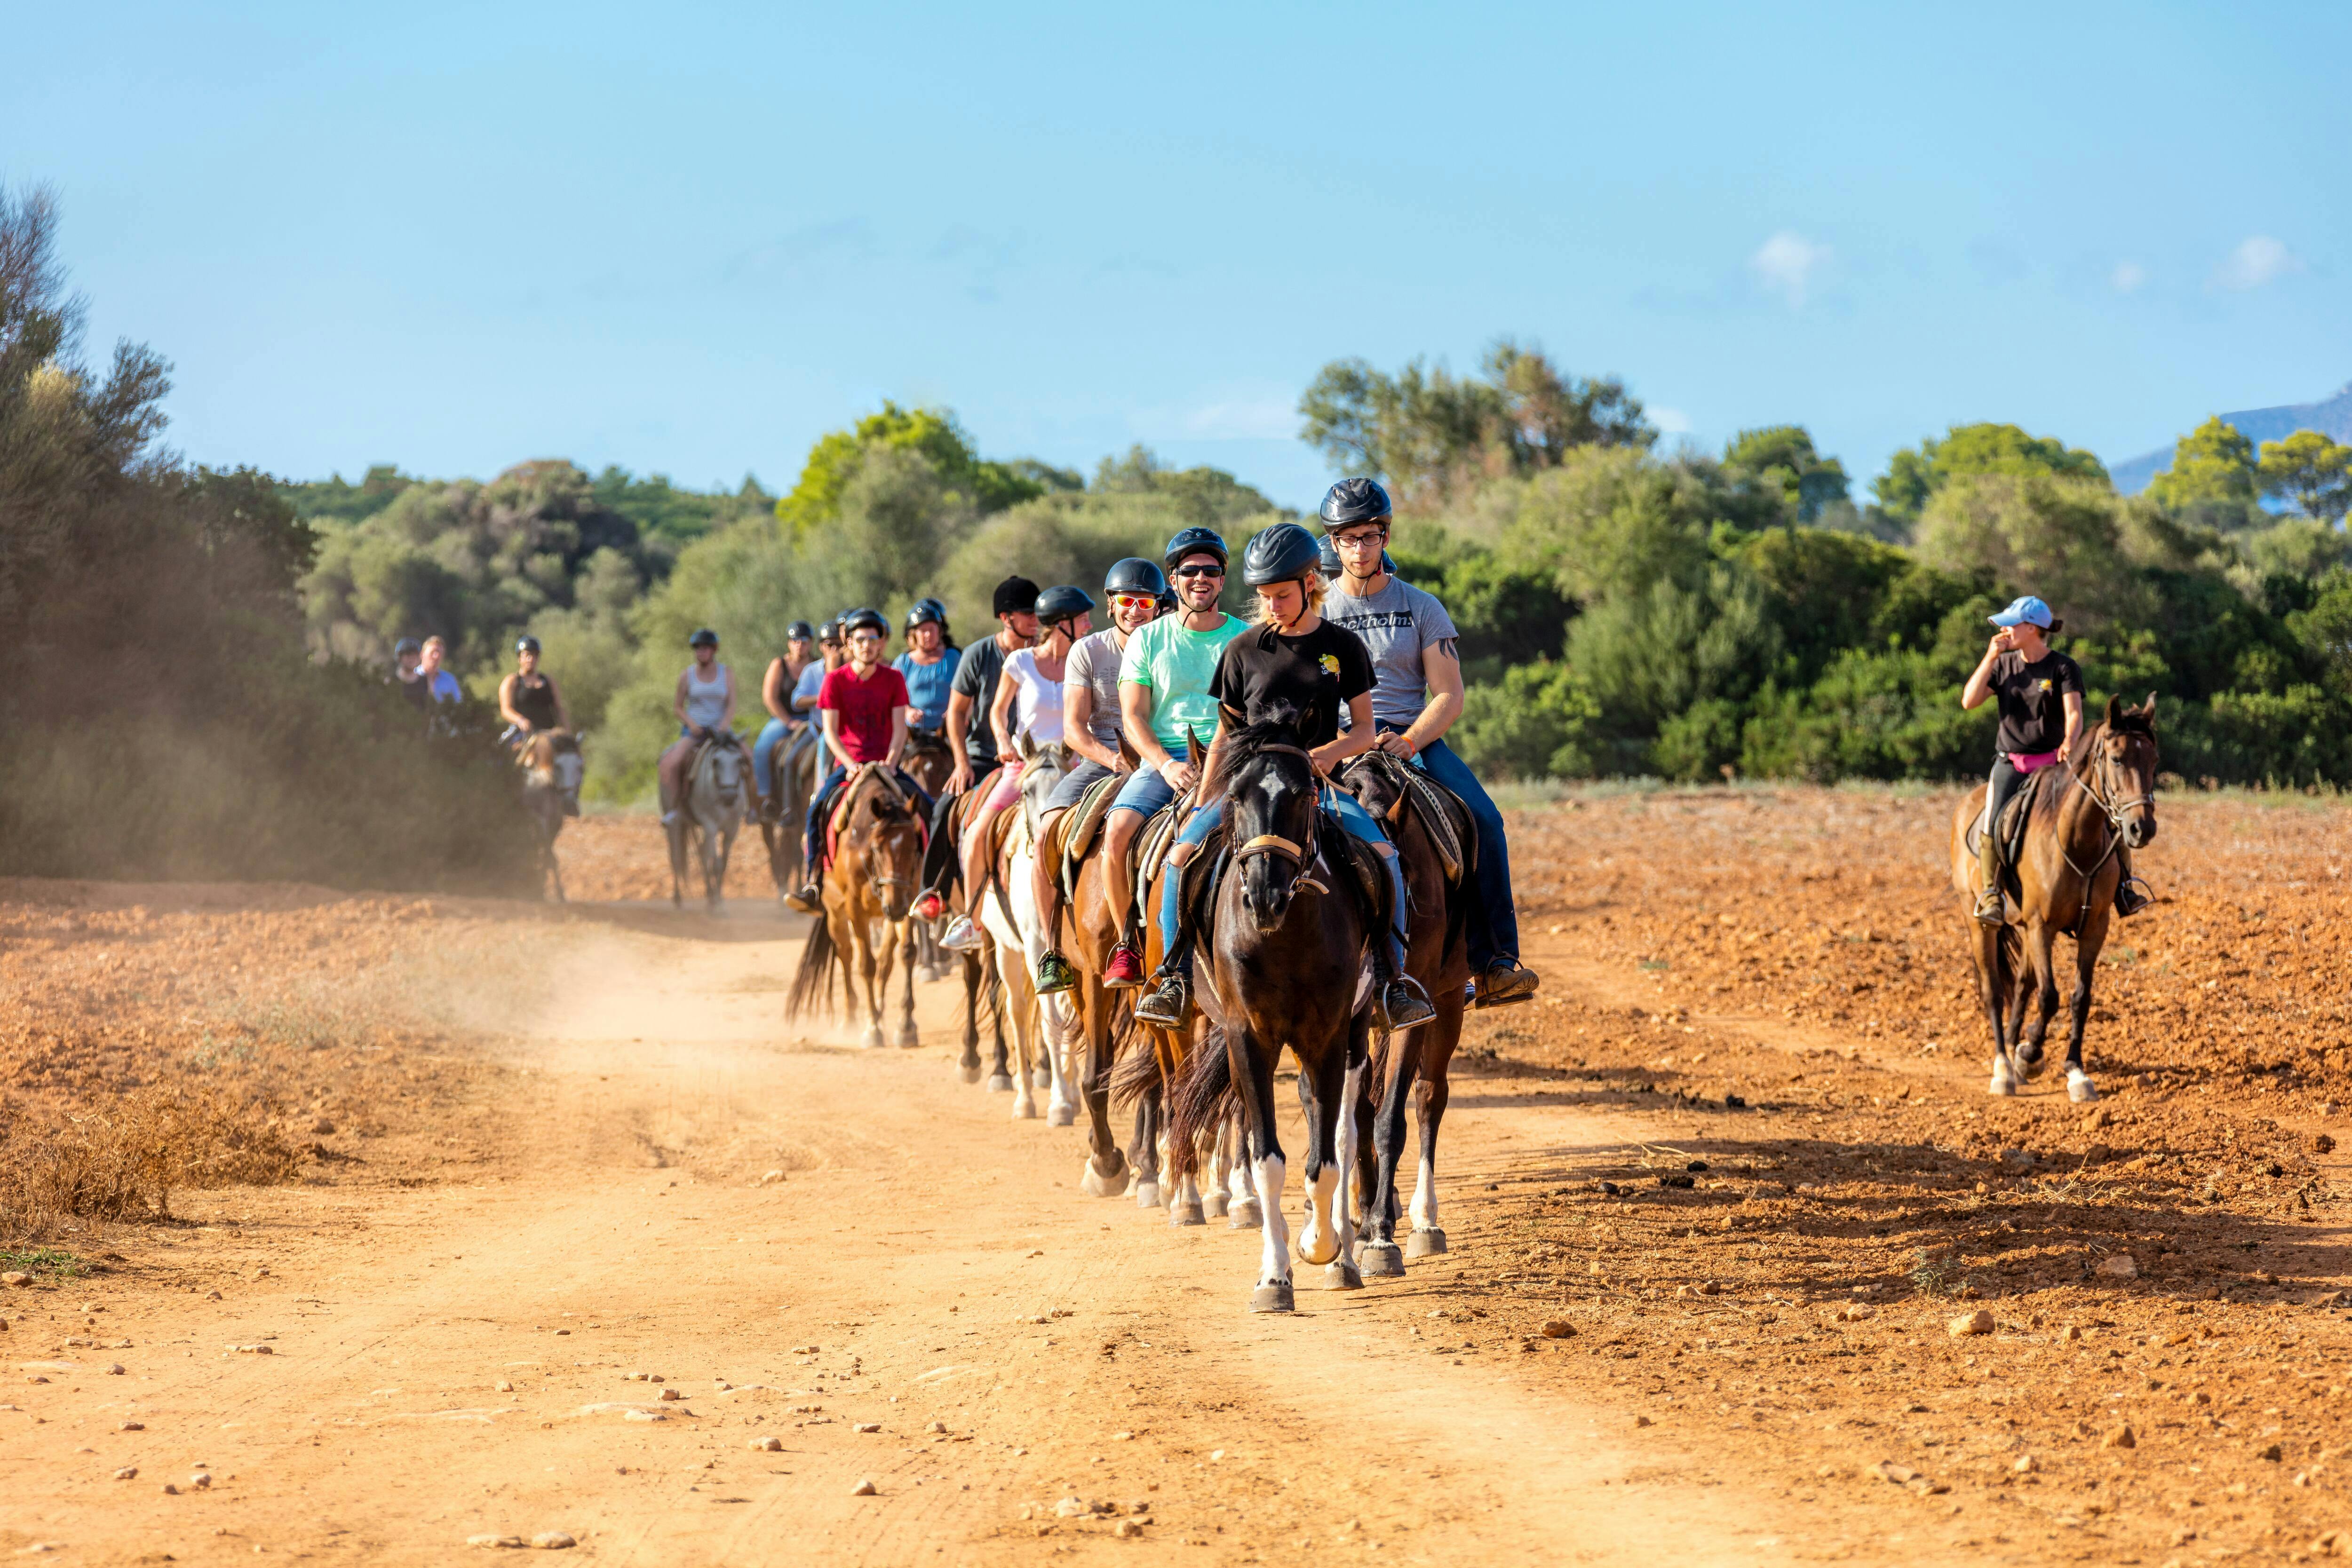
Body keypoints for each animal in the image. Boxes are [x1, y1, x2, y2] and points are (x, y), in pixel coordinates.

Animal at [795, 766, 931, 1048]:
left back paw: (879, 1012)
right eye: (877, 847)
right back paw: (852, 1020)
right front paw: (872, 1029)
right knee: (846, 955)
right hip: (837, 913)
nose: (895, 907)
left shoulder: (908, 898)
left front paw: (906, 1026)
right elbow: (865, 964)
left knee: (885, 962)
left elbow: (906, 954)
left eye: (915, 846)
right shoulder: (856, 909)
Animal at [1947, 691, 2154, 1109]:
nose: (2142, 828)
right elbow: (2049, 997)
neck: (2077, 838)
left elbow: (2079, 998)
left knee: (2022, 984)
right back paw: (2003, 1068)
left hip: (2025, 929)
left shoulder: (2094, 928)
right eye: (2117, 759)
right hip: (1978, 921)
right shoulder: (2042, 926)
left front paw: (2073, 1071)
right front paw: (2030, 1056)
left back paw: (2014, 1054)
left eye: (2154, 761)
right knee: (1995, 990)